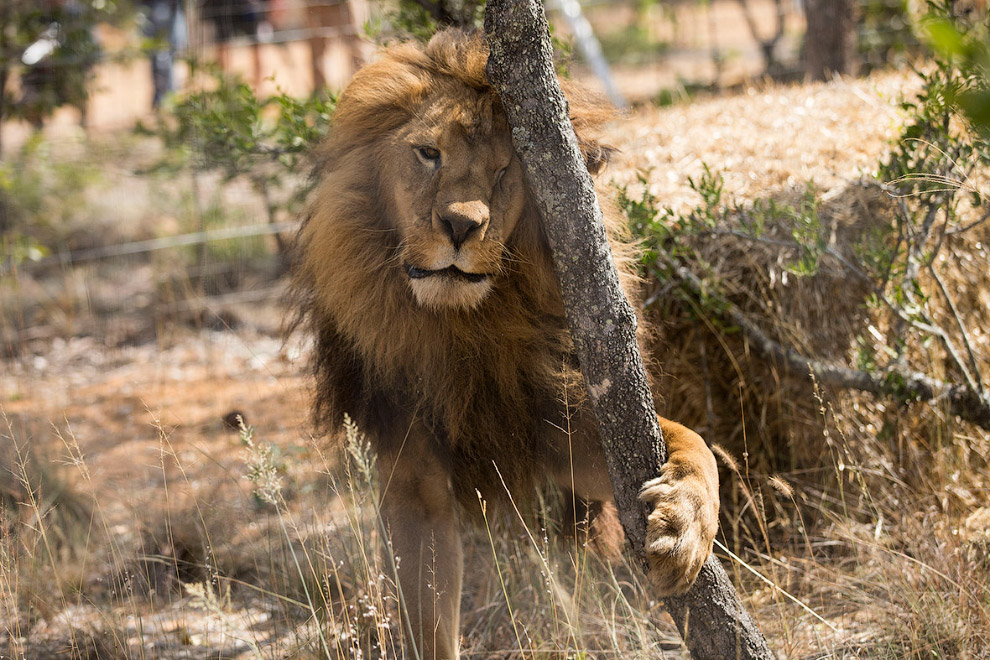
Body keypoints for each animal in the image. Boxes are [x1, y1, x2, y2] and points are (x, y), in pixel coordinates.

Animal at [292, 28, 720, 656]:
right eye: (428, 154)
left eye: (502, 170)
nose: (461, 225)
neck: (463, 325)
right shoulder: (411, 474)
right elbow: (427, 615)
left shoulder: (568, 433)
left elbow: (692, 443)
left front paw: (683, 526)